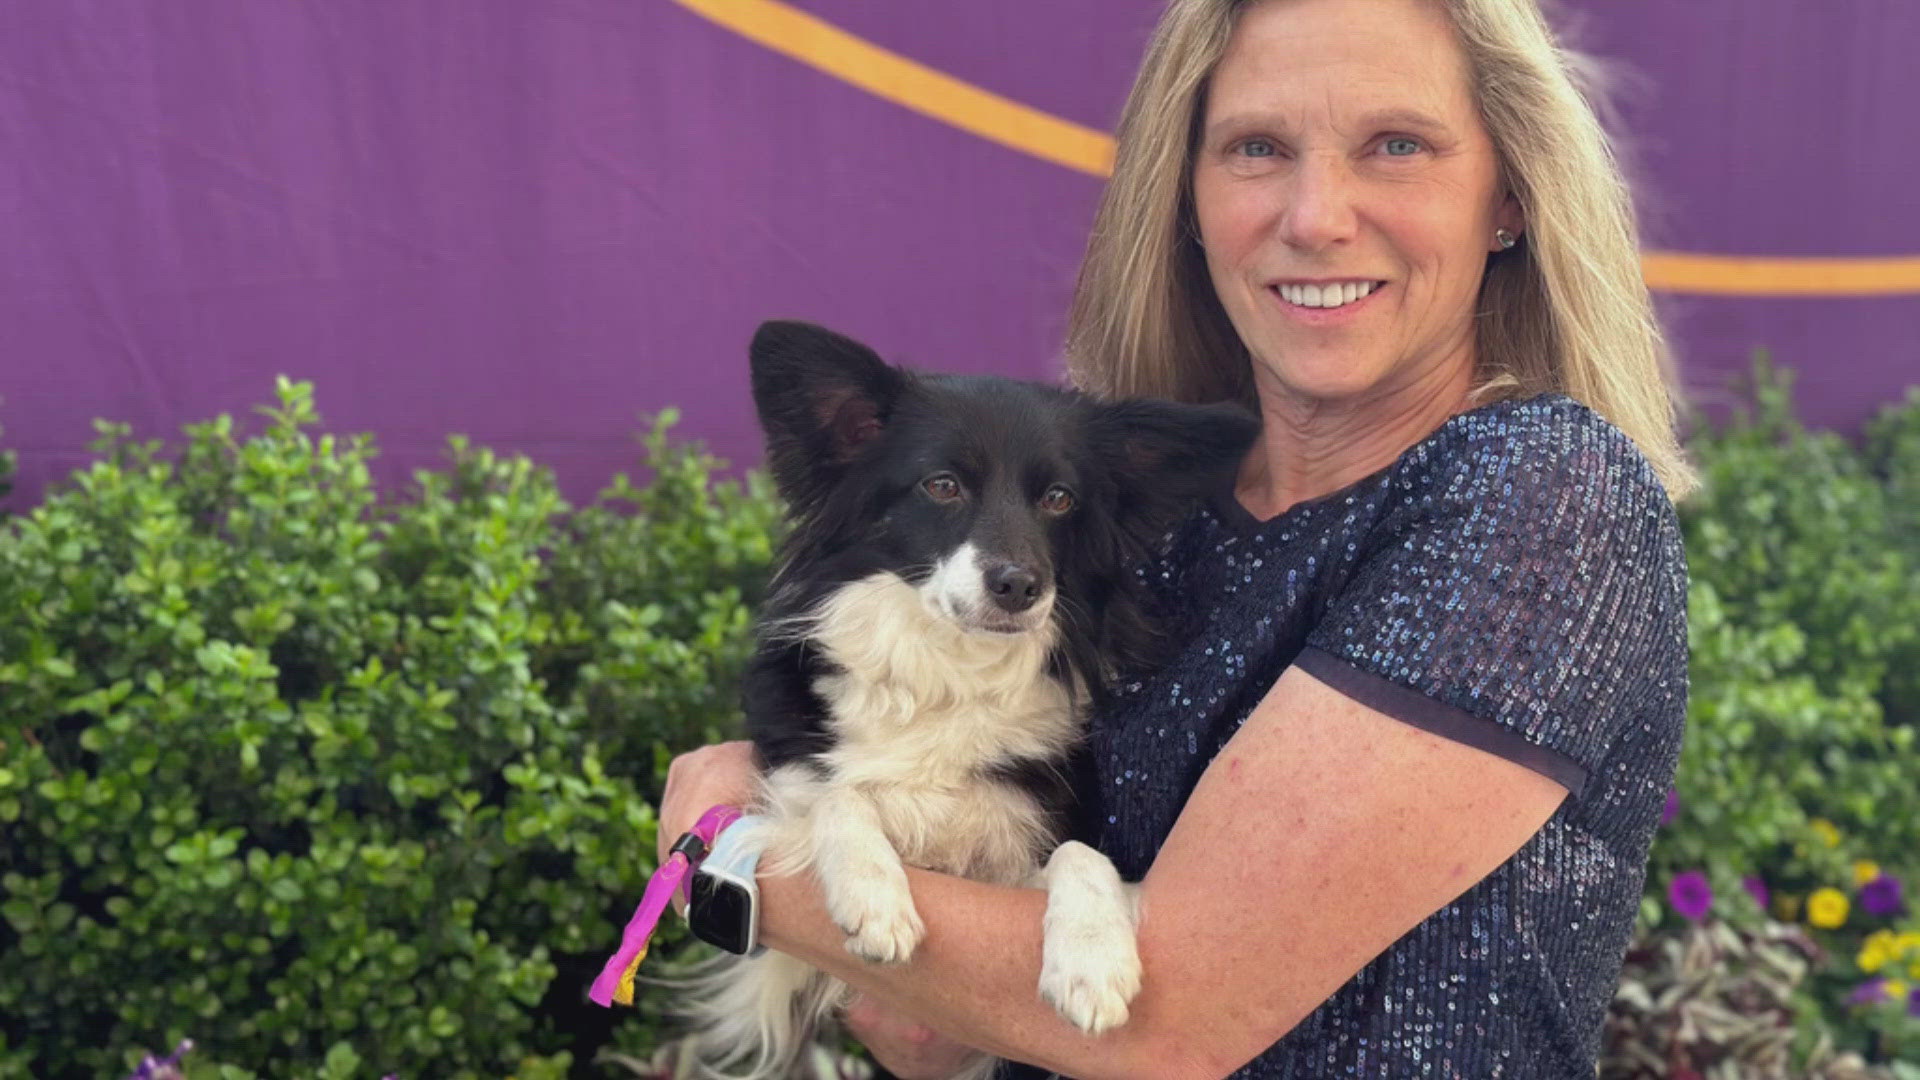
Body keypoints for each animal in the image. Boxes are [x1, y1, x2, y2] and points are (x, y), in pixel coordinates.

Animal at [687, 320, 1259, 1076]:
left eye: (1060, 499)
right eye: (943, 485)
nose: (1019, 586)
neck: (950, 670)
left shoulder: (1019, 855)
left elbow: (1083, 855)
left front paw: (1093, 961)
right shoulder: (786, 787)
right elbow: (838, 797)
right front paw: (874, 895)